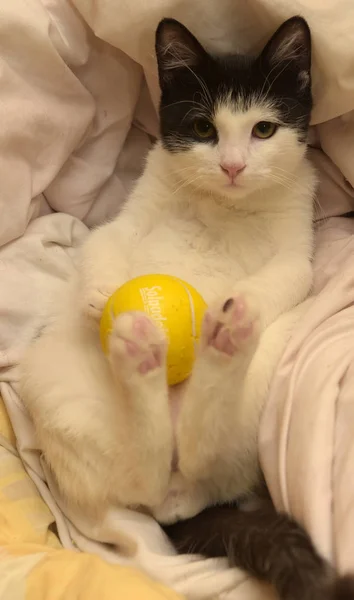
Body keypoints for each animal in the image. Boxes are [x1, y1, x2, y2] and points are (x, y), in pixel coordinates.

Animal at [20, 11, 316, 556]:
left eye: (264, 129)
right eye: (203, 127)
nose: (233, 165)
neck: (223, 204)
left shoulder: (297, 240)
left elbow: (289, 274)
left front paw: (242, 303)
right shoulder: (134, 212)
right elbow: (105, 240)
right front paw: (100, 294)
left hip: (266, 380)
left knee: (200, 452)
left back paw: (226, 340)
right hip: (54, 378)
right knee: (147, 478)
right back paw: (139, 356)